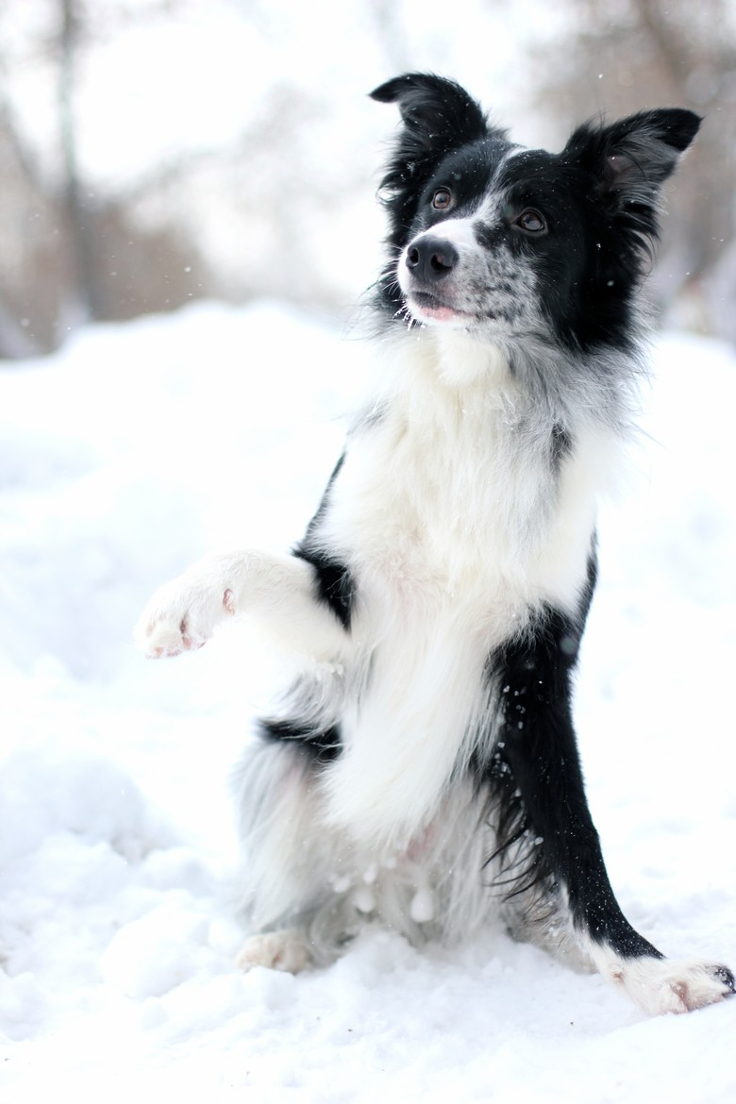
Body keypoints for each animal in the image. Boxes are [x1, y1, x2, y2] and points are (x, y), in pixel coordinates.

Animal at [136, 73, 732, 1011]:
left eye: (532, 221)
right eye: (441, 200)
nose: (426, 253)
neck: (475, 397)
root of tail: (392, 888)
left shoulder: (532, 667)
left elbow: (577, 838)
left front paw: (645, 966)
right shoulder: (351, 608)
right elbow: (250, 559)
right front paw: (177, 608)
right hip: (281, 758)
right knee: (307, 890)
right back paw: (285, 940)